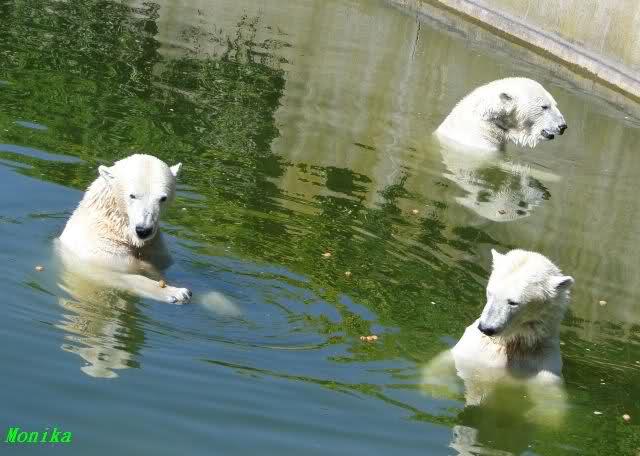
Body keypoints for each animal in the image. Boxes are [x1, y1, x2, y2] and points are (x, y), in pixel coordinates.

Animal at [57, 154, 192, 304]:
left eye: (163, 198)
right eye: (132, 195)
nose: (143, 230)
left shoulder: (156, 250)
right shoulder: (96, 255)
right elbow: (120, 276)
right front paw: (178, 292)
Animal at [421, 249, 574, 425]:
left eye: (513, 302)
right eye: (490, 292)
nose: (486, 328)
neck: (510, 343)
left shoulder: (542, 362)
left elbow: (551, 397)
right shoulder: (473, 352)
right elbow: (447, 360)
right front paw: (437, 388)